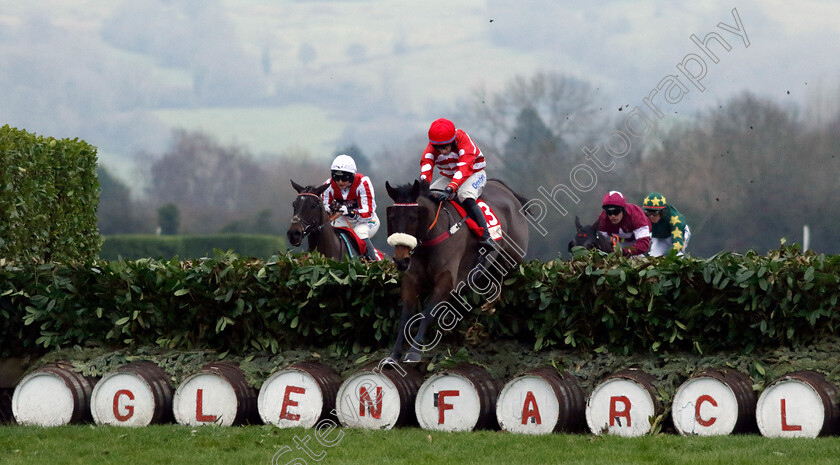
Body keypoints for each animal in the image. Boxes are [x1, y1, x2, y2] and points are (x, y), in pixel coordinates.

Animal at [384, 178, 528, 362]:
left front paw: (414, 351)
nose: (401, 260)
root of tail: (507, 191)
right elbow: (405, 316)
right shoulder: (411, 280)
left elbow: (427, 313)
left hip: (515, 259)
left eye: (413, 217)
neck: (432, 237)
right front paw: (394, 354)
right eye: (392, 217)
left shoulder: (446, 281)